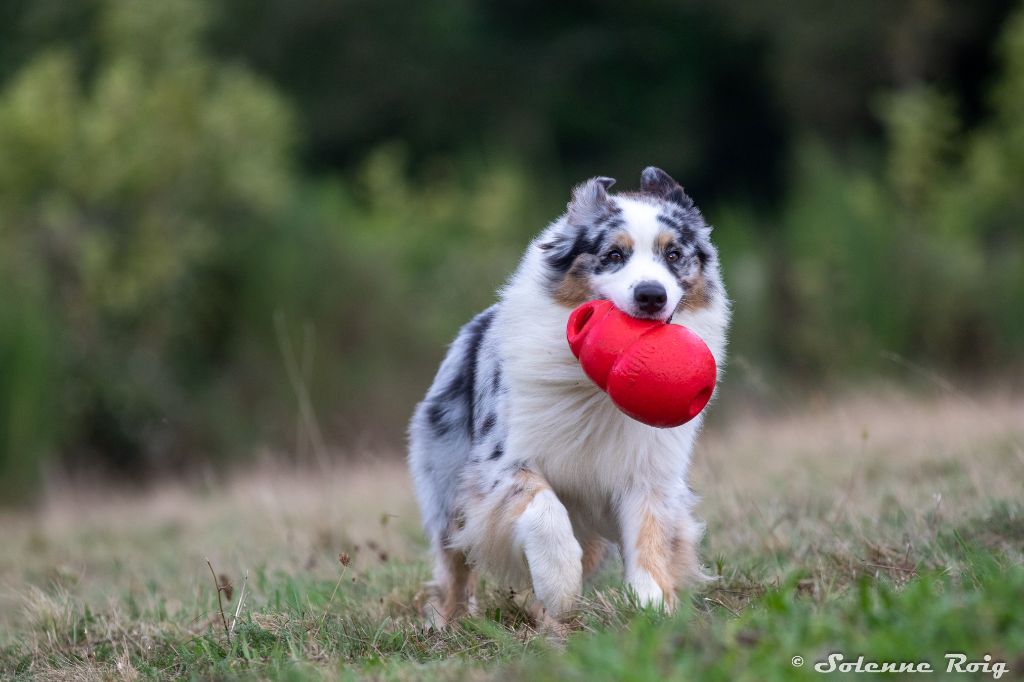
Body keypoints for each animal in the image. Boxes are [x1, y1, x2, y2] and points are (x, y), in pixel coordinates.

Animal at [407, 164, 729, 622]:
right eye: (613, 255)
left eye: (673, 255)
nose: (651, 295)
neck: (594, 391)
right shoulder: (501, 464)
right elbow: (544, 509)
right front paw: (558, 583)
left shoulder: (650, 470)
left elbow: (649, 534)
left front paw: (650, 604)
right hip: (446, 483)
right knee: (454, 560)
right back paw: (451, 621)